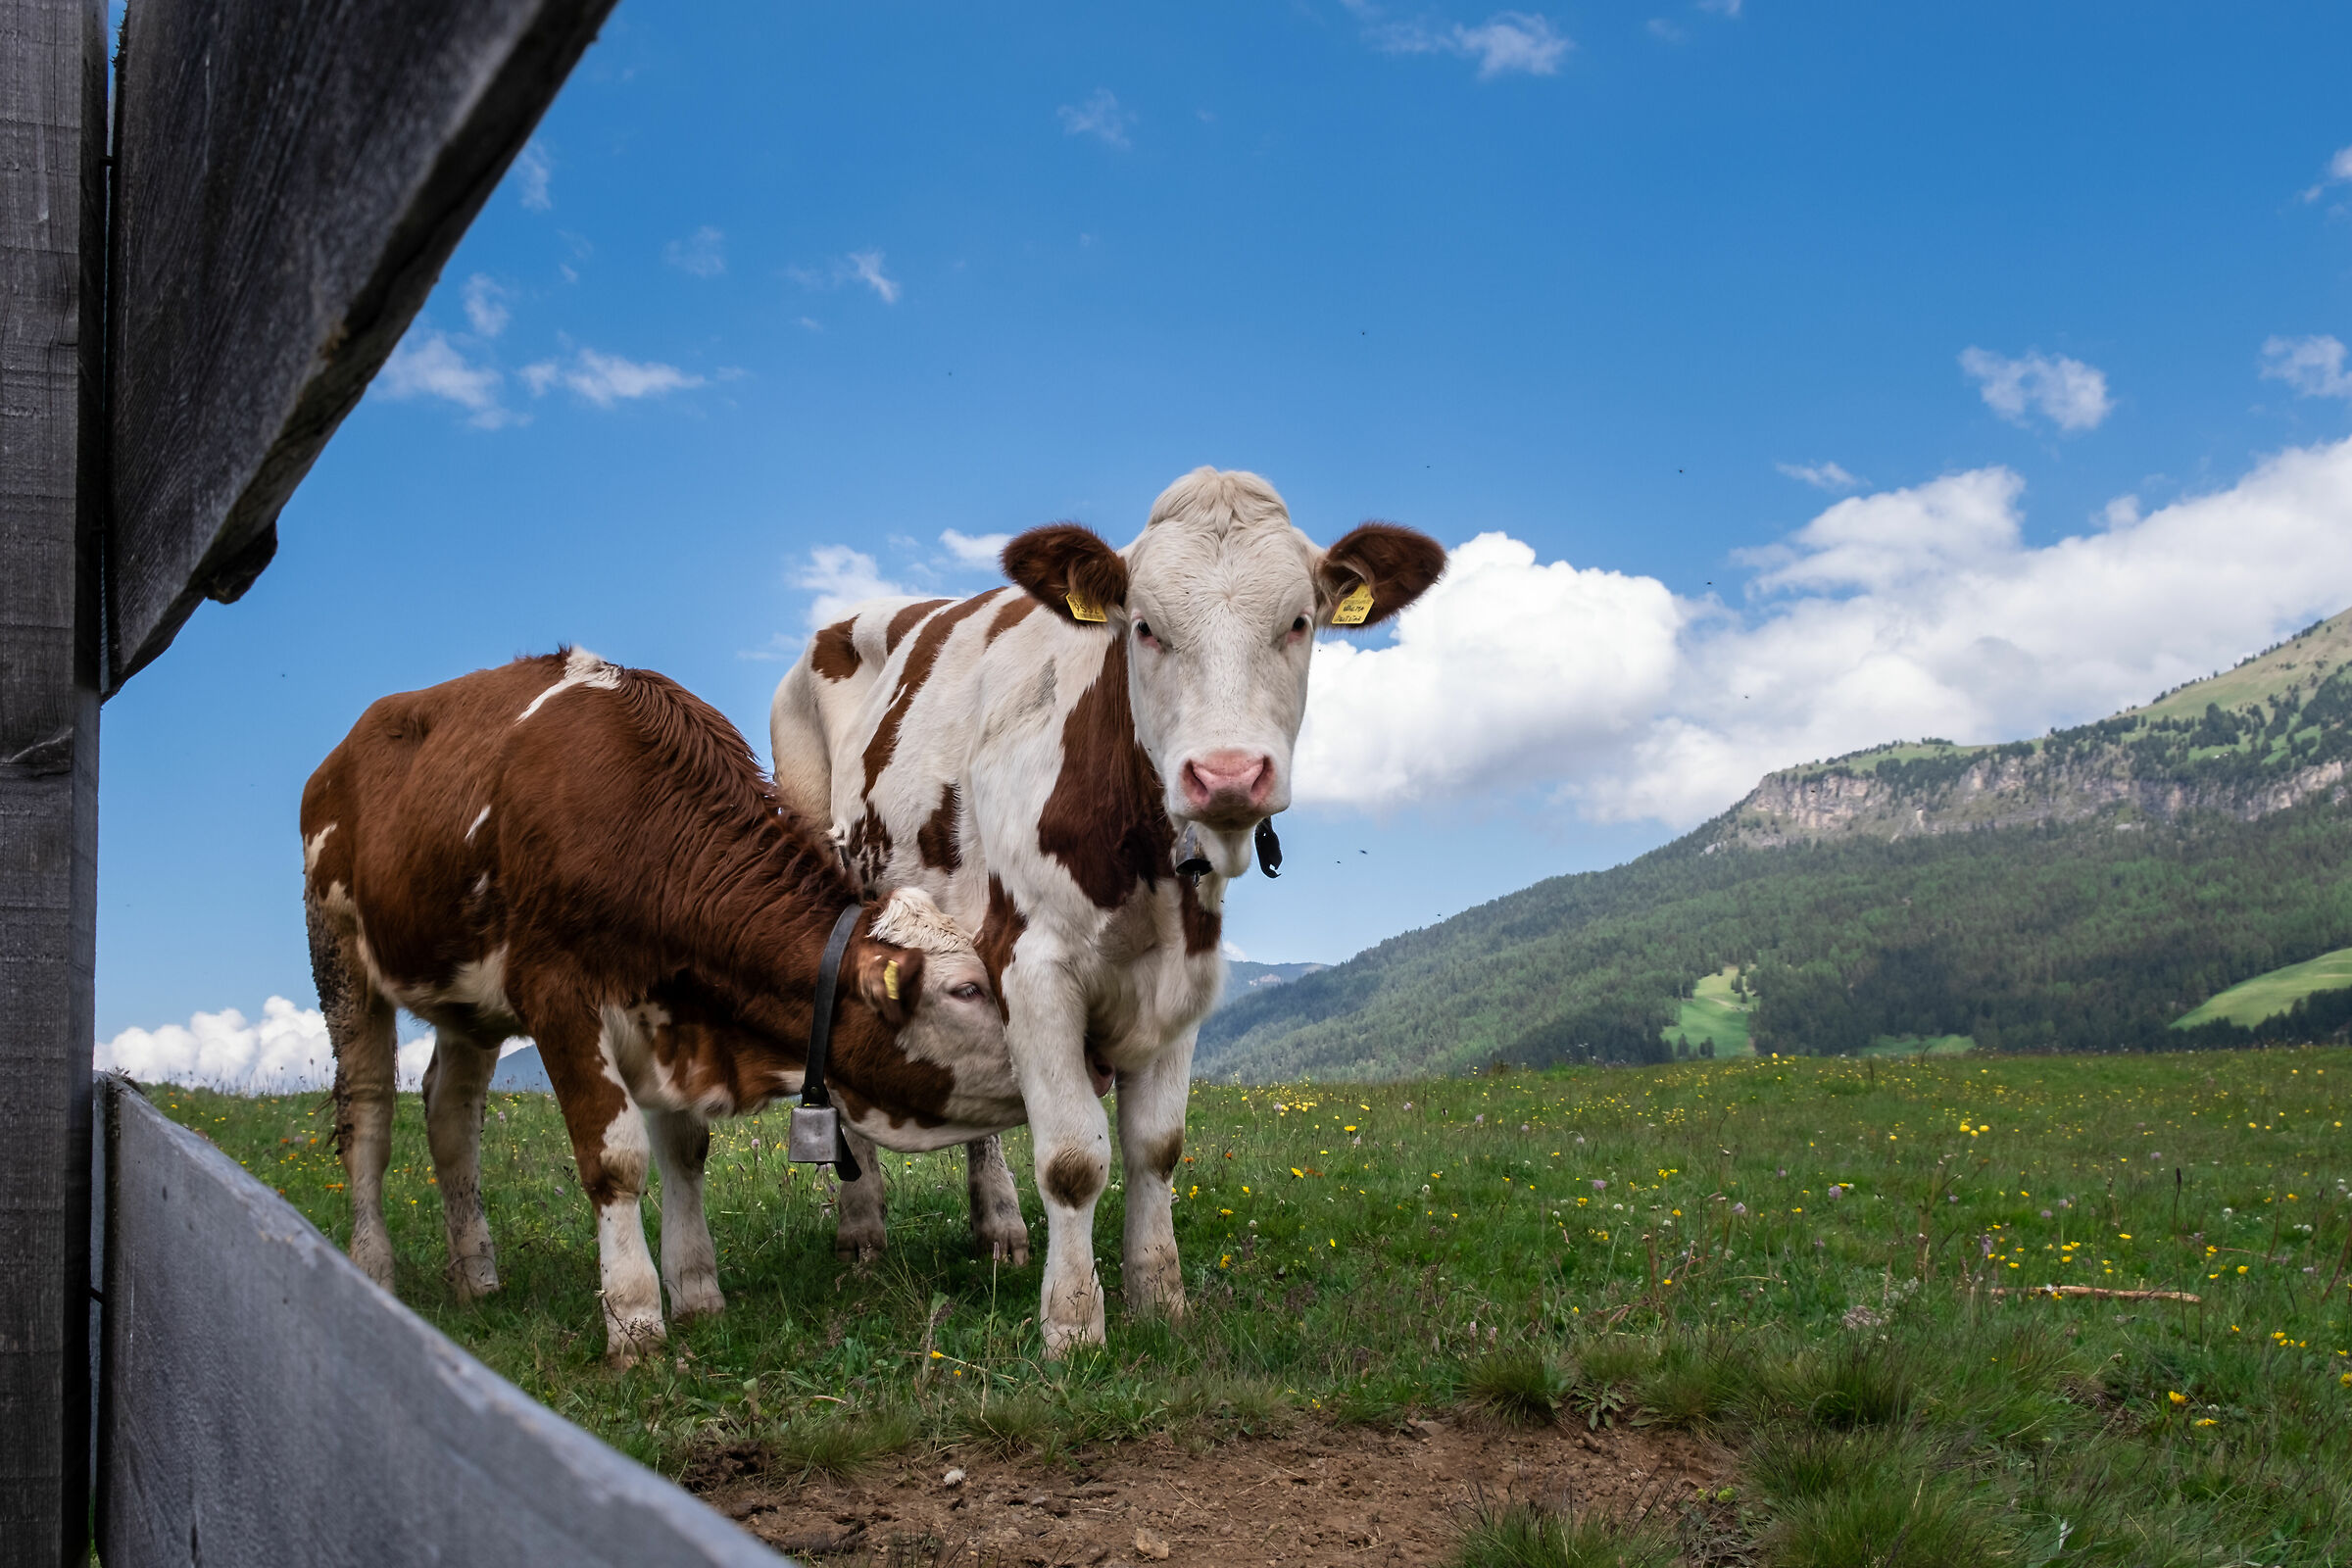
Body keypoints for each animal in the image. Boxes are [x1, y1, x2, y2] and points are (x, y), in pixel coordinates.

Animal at [301, 649, 1017, 1363]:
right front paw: (634, 1317)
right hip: (338, 955)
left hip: (465, 1004)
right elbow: (616, 1160)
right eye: (966, 990)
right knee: (367, 1118)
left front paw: (697, 1291)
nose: (1054, 1055)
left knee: (451, 1118)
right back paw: (372, 1270)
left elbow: (685, 1150)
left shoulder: (676, 1013)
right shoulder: (558, 996)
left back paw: (476, 1276)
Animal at [768, 467, 1445, 1355]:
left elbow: (1156, 1148)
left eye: (1299, 622)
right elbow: (1071, 1159)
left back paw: (999, 1226)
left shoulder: (1184, 975)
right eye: (1146, 628)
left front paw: (1159, 1297)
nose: (1227, 774)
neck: (1144, 868)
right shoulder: (1032, 965)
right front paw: (1072, 1325)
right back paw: (861, 1231)